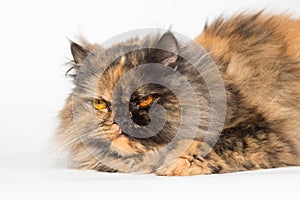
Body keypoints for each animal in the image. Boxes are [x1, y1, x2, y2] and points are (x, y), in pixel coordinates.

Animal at [57, 11, 300, 176]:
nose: (118, 120)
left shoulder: (267, 133)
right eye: (100, 103)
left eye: (145, 99)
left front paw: (175, 164)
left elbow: (205, 145)